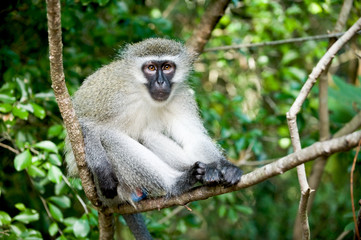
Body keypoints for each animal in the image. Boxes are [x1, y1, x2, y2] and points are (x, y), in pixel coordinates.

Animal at [65, 38, 242, 239]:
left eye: (167, 67)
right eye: (150, 68)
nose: (160, 82)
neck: (142, 93)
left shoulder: (180, 97)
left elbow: (193, 138)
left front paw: (225, 166)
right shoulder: (112, 96)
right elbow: (84, 124)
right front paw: (102, 170)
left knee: (147, 136)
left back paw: (206, 172)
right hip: (108, 190)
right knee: (109, 138)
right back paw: (178, 182)